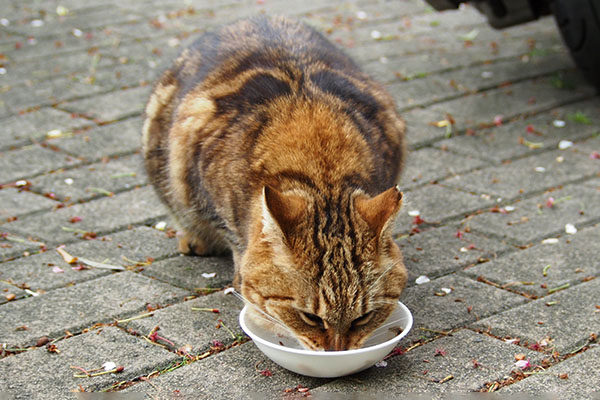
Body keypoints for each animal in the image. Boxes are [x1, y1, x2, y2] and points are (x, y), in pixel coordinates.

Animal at [143, 14, 408, 350]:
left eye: (363, 318)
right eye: (310, 318)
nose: (335, 351)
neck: (321, 167)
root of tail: (255, 17)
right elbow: (234, 241)